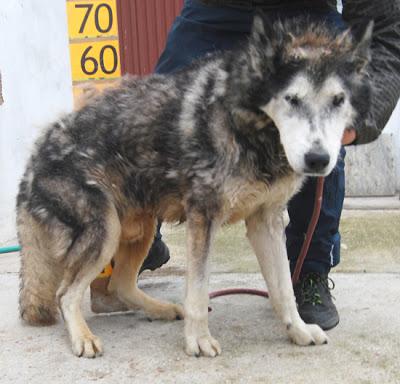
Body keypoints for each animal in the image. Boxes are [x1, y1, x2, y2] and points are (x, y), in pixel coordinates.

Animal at [16, 15, 372, 356]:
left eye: (338, 100)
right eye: (292, 99)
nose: (318, 159)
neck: (249, 127)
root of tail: (33, 160)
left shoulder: (266, 222)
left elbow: (283, 288)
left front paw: (297, 330)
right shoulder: (204, 218)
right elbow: (199, 291)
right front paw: (198, 341)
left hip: (141, 228)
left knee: (119, 285)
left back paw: (160, 309)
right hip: (106, 230)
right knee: (65, 294)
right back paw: (83, 337)